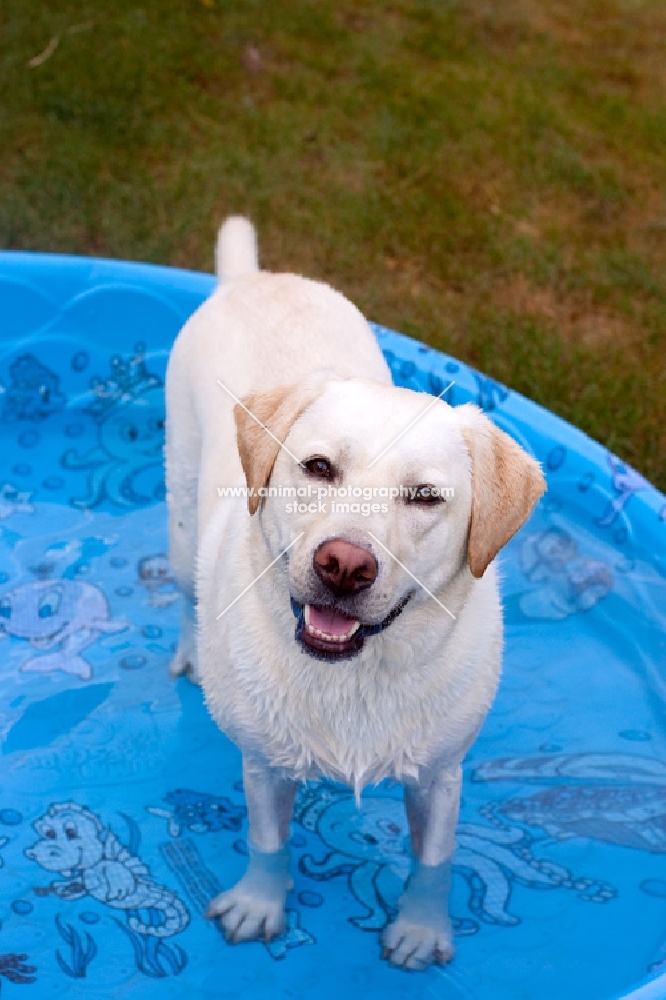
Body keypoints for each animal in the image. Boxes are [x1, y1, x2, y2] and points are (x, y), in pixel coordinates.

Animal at [163, 217, 544, 968]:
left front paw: (420, 930)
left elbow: (437, 859)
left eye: (425, 496)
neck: (357, 674)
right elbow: (268, 840)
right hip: (183, 512)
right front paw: (259, 905)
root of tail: (255, 278)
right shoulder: (265, 763)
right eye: (317, 467)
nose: (343, 565)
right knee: (188, 588)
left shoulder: (441, 772)